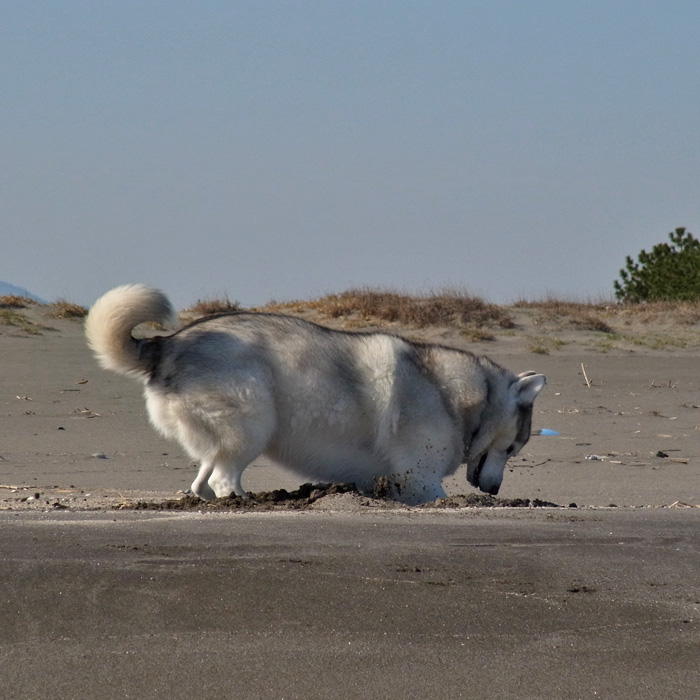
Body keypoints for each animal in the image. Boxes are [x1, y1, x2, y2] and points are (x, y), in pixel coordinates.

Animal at [85, 284, 548, 504]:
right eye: (513, 448)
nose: (495, 492)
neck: (463, 401)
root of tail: (167, 343)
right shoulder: (419, 475)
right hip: (252, 427)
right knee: (222, 478)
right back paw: (244, 501)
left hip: (223, 438)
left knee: (202, 480)